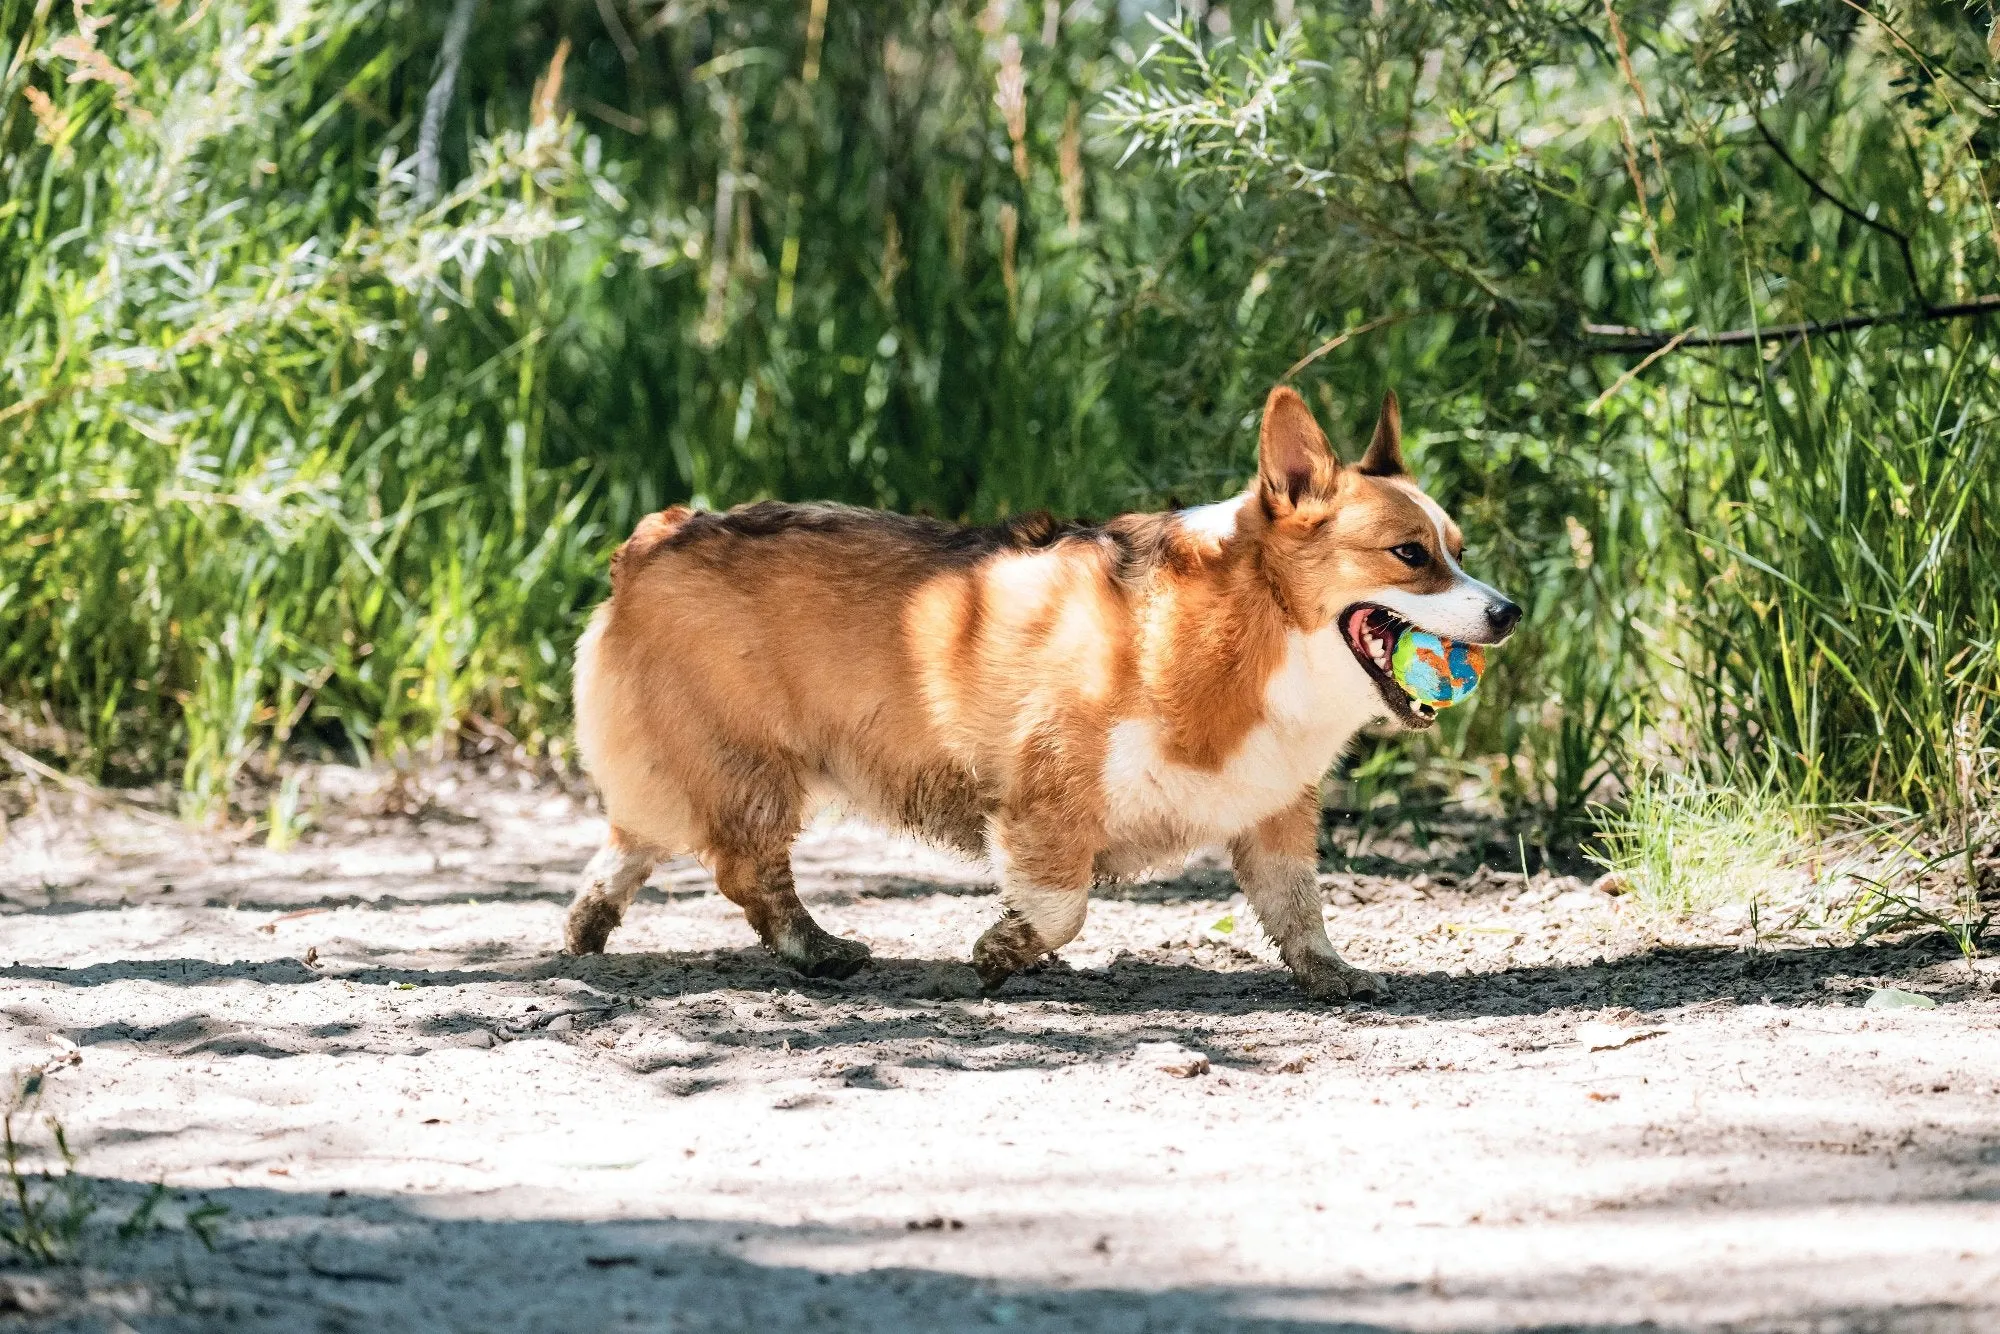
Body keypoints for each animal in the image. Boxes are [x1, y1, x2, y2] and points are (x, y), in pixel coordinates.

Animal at [564, 386, 1512, 1000]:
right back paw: (820, 951)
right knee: (746, 869)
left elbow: (1299, 908)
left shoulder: (1276, 814)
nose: (1508, 613)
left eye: (1459, 549)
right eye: (1410, 555)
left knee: (632, 840)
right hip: (754, 769)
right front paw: (1000, 952)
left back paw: (587, 926)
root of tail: (656, 535)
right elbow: (1061, 907)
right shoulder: (1044, 798)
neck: (1254, 628)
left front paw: (1335, 975)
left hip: (687, 766)